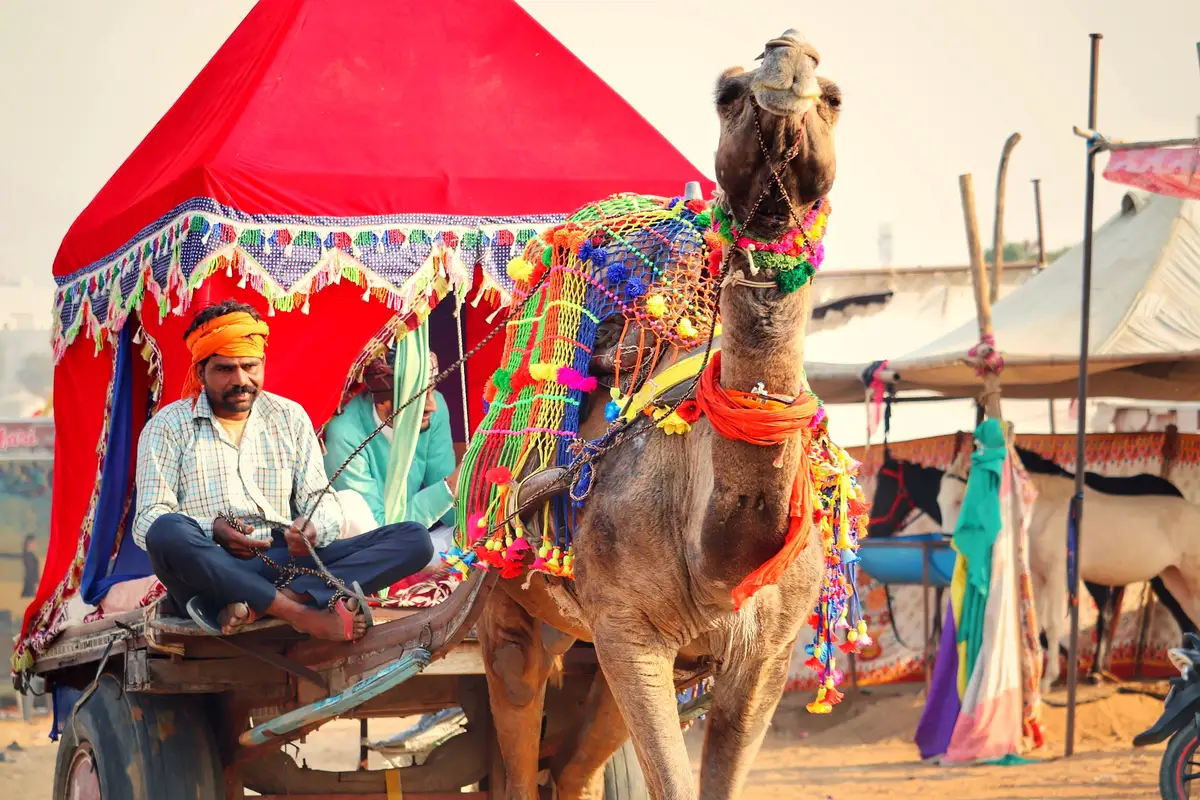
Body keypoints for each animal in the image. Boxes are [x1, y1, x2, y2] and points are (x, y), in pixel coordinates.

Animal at [470, 30, 846, 800]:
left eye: (834, 98)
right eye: (726, 92)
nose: (789, 49)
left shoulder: (768, 654)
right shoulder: (627, 630)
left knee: (572, 770)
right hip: (515, 612)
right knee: (519, 720)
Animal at [938, 447, 1200, 693]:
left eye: (961, 499)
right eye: (939, 500)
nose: (950, 545)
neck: (1047, 510)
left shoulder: (1057, 574)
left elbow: (1053, 624)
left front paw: (1047, 681)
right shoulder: (1039, 575)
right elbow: (1038, 623)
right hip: (1173, 579)